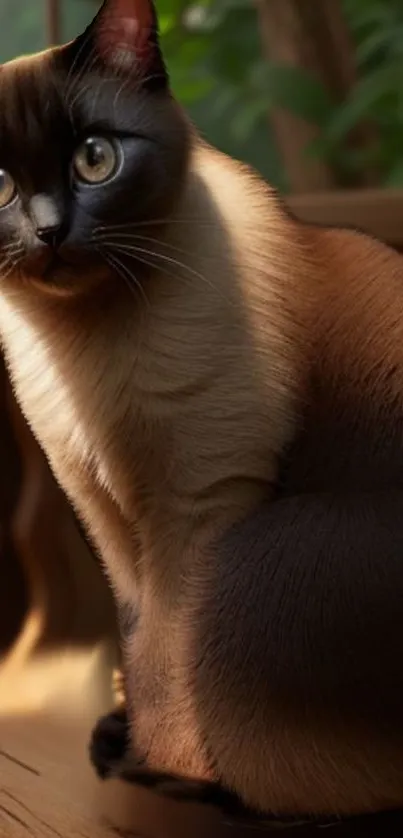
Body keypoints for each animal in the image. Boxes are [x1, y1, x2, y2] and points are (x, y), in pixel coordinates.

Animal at [0, 0, 403, 828]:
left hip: (252, 563)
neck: (80, 348)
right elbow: (140, 646)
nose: (50, 232)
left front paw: (162, 766)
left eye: (94, 159)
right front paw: (142, 749)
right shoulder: (106, 517)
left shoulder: (198, 512)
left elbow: (169, 664)